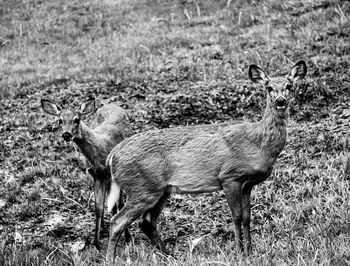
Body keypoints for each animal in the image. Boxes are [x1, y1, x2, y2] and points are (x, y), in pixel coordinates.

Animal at [40, 98, 133, 249]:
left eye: (76, 120)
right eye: (60, 120)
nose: (66, 134)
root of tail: (112, 104)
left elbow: (119, 203)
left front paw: (128, 238)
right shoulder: (96, 176)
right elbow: (98, 207)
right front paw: (97, 242)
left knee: (117, 202)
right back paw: (104, 228)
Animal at [104, 60, 306, 260]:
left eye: (289, 86)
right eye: (269, 87)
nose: (281, 101)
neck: (257, 142)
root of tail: (112, 156)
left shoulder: (248, 183)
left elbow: (248, 217)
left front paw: (250, 250)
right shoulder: (229, 176)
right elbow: (237, 216)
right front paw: (240, 251)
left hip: (160, 190)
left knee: (146, 222)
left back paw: (170, 255)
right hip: (142, 187)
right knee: (117, 221)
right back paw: (111, 257)